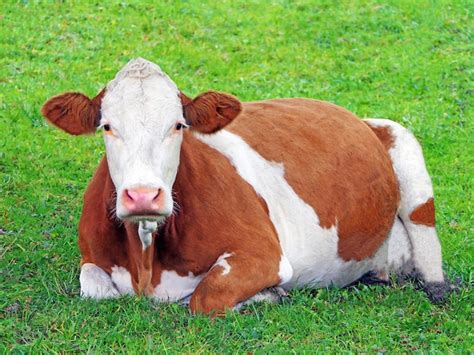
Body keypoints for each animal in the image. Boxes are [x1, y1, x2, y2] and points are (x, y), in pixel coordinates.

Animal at [40, 58, 448, 318]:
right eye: (107, 126)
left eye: (178, 125)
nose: (143, 196)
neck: (147, 260)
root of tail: (351, 114)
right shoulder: (91, 256)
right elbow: (96, 290)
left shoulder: (263, 254)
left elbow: (204, 298)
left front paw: (267, 295)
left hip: (402, 142)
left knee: (428, 246)